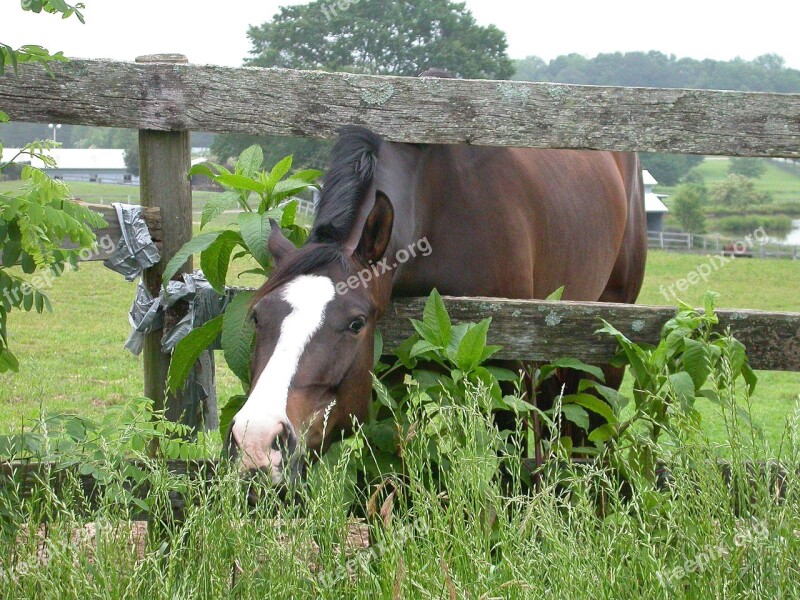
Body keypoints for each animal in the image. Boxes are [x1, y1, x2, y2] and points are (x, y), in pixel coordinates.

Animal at [223, 124, 644, 480]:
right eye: (258, 317)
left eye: (356, 323)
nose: (256, 442)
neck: (437, 203)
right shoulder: (389, 364)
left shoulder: (506, 367)